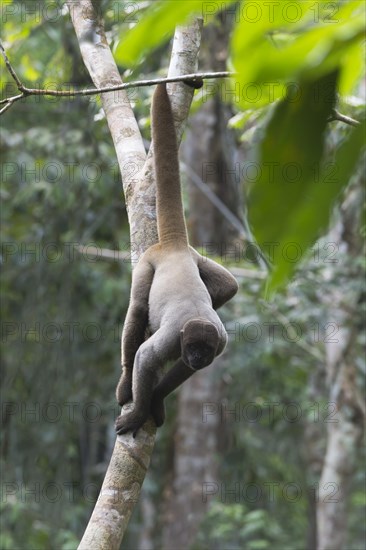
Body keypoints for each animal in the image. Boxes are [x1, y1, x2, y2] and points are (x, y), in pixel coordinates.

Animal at [116, 83, 239, 436]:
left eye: (204, 351)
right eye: (194, 348)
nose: (198, 357)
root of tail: (174, 246)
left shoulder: (220, 342)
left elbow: (183, 372)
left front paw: (156, 399)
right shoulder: (173, 339)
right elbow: (146, 358)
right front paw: (138, 412)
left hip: (196, 256)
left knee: (230, 285)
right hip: (147, 262)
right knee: (137, 310)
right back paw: (125, 382)